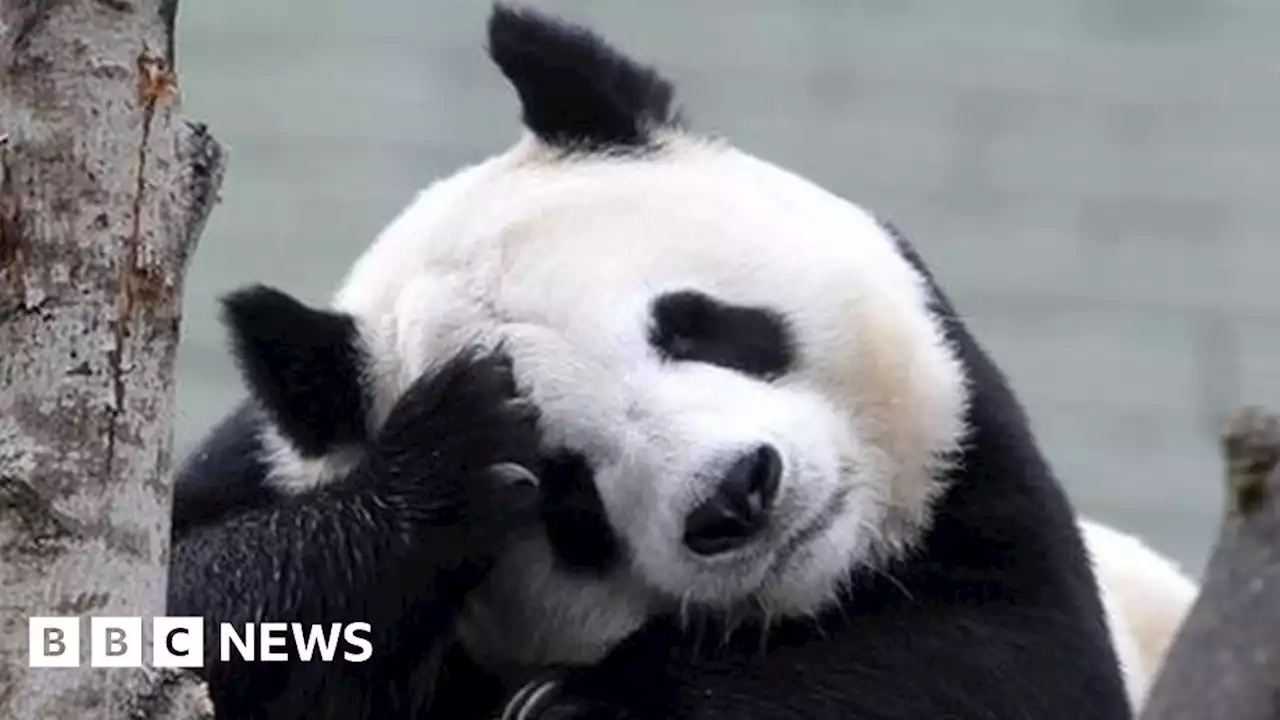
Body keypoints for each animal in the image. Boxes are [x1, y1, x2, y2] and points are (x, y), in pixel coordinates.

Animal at [165, 7, 1146, 717]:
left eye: (692, 326)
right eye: (565, 485)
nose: (736, 495)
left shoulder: (983, 486)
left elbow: (999, 662)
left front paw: (584, 707)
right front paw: (445, 460)